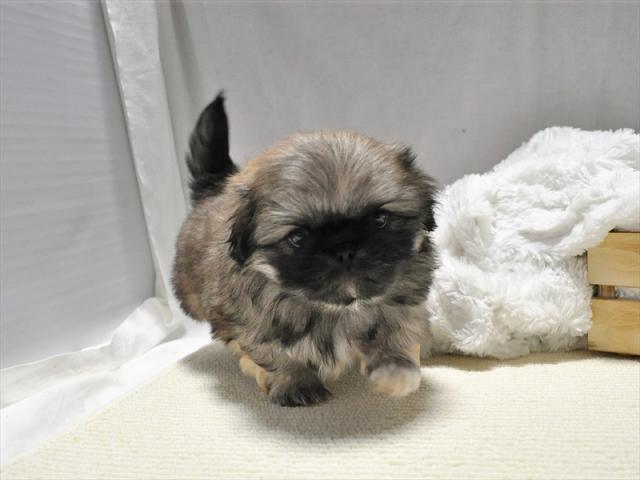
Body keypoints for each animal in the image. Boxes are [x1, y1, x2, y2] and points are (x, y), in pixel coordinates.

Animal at [172, 93, 437, 407]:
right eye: (297, 238)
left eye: (380, 220)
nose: (344, 250)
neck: (339, 309)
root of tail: (213, 186)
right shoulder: (252, 323)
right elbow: (275, 353)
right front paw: (295, 383)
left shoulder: (404, 306)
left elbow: (397, 335)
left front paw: (396, 370)